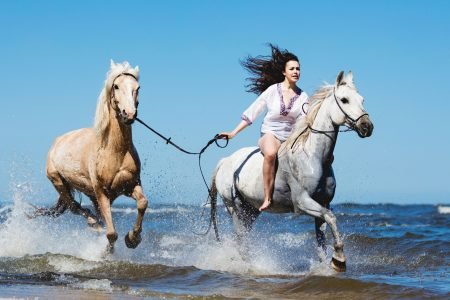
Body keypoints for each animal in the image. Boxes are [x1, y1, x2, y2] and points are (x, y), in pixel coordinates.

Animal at [33, 60, 148, 251]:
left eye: (137, 87)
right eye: (116, 86)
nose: (129, 114)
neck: (115, 151)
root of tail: (57, 142)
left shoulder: (130, 185)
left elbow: (143, 203)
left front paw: (132, 239)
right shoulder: (101, 191)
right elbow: (111, 233)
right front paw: (107, 251)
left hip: (87, 193)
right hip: (59, 182)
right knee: (74, 207)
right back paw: (93, 222)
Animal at [210, 71, 372, 270]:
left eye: (362, 99)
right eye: (344, 100)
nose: (367, 126)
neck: (312, 156)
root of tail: (225, 161)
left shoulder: (323, 203)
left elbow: (322, 239)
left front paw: (329, 263)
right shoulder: (302, 203)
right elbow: (332, 218)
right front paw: (339, 260)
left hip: (251, 210)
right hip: (236, 208)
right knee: (240, 238)